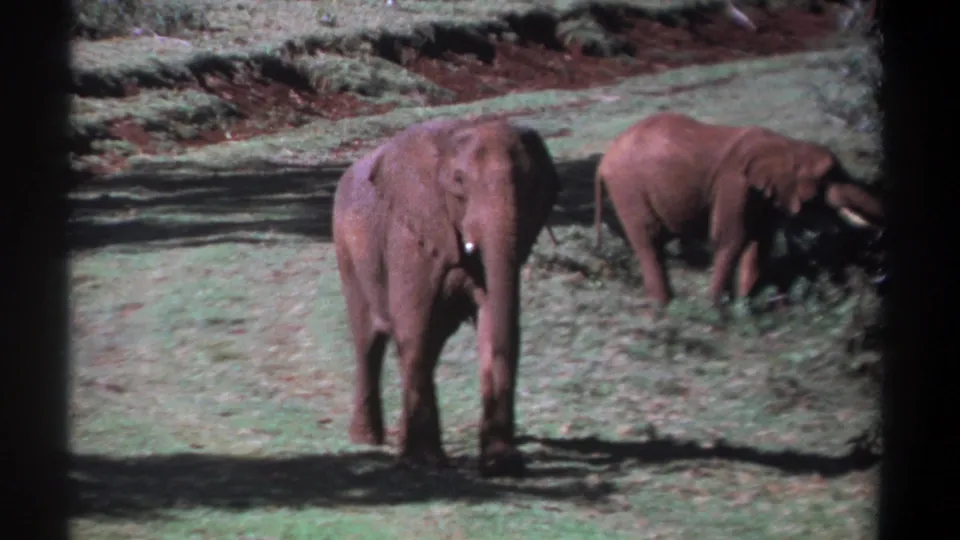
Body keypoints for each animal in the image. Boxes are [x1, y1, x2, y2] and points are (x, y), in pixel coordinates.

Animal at [331, 116, 561, 477]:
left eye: (531, 184)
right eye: (459, 182)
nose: (504, 463)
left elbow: (492, 320)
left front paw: (501, 463)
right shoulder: (411, 233)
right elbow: (415, 326)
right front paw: (424, 463)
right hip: (348, 252)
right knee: (369, 342)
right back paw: (366, 441)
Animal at [593, 112, 884, 309]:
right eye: (827, 177)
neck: (786, 147)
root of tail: (604, 160)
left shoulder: (764, 195)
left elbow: (759, 243)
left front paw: (747, 305)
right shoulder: (734, 183)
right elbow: (731, 238)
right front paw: (716, 311)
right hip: (627, 187)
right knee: (649, 239)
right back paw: (663, 308)